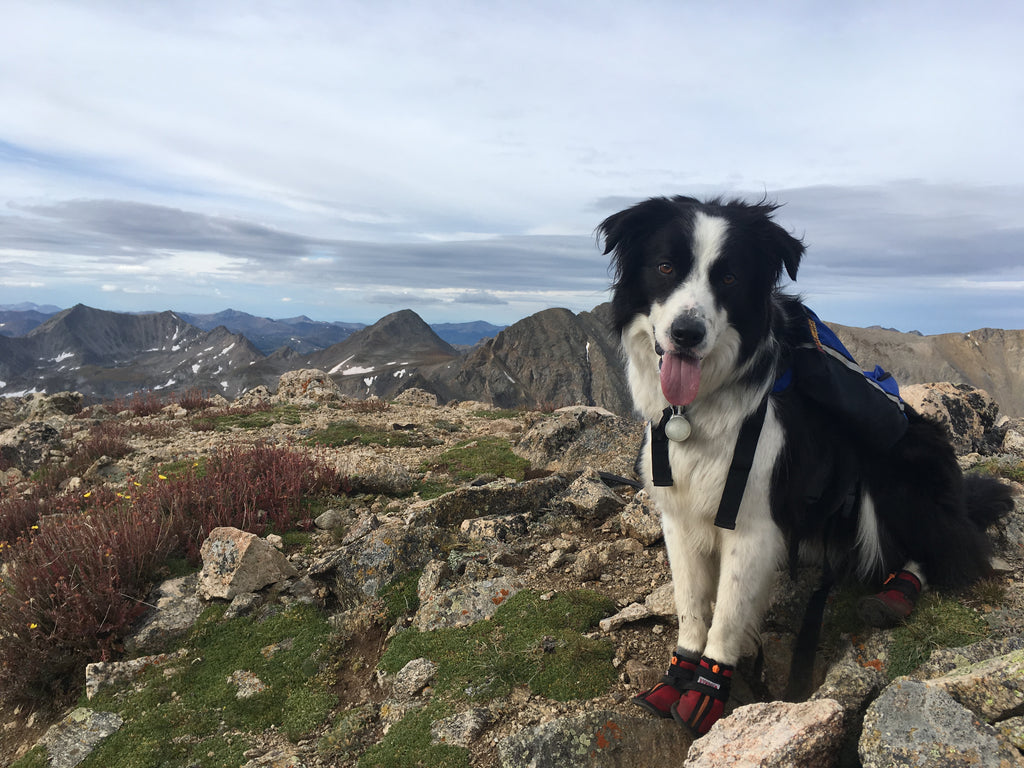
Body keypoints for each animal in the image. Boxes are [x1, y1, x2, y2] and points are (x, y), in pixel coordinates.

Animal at [598, 195, 1011, 737]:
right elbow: (690, 605)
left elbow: (727, 612)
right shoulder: (679, 516)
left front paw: (708, 690)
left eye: (728, 278)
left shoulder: (753, 524)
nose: (687, 334)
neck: (697, 411)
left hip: (895, 473)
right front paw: (678, 677)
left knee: (948, 546)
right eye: (666, 267)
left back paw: (897, 592)